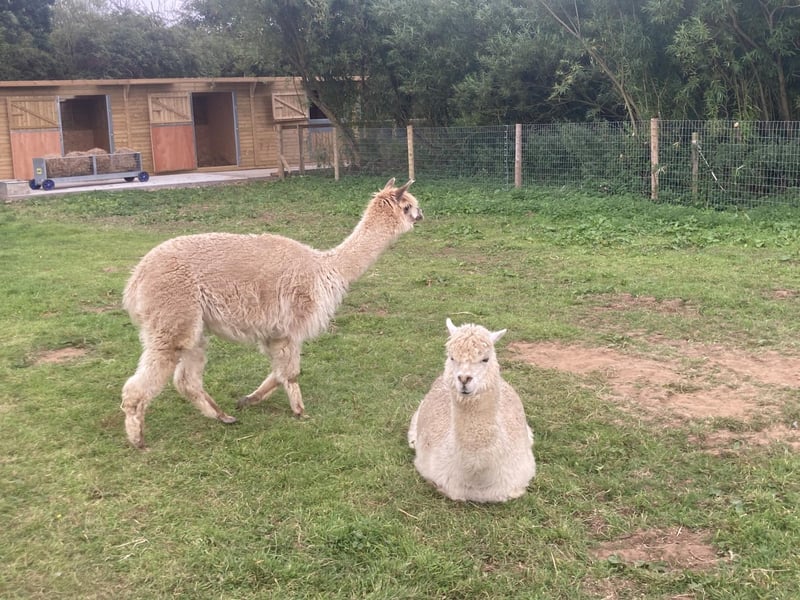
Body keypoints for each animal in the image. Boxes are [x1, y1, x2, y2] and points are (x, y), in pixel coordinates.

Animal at [121, 178, 423, 448]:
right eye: (409, 205)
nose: (422, 215)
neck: (327, 269)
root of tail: (135, 280)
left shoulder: (274, 332)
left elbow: (279, 372)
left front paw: (248, 400)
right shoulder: (292, 324)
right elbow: (291, 372)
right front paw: (300, 411)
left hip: (192, 324)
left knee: (186, 379)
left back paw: (222, 416)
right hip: (173, 313)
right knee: (144, 381)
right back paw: (138, 438)